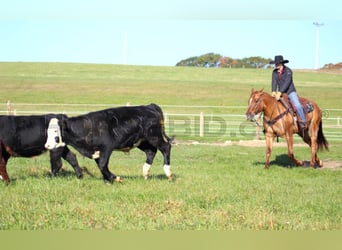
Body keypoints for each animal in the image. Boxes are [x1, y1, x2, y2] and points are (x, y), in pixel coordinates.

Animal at [44, 103, 174, 184]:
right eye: (47, 131)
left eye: (56, 131)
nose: (47, 145)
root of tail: (149, 106)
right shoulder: (96, 152)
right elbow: (101, 166)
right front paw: (108, 180)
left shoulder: (106, 148)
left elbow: (102, 165)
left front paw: (115, 178)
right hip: (142, 141)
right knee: (151, 152)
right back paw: (146, 173)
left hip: (154, 136)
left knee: (166, 147)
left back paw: (168, 173)